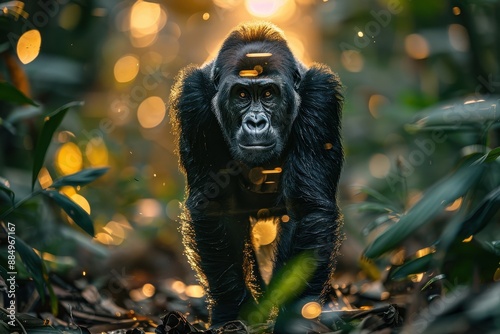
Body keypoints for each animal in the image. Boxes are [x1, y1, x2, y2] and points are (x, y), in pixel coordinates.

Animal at [170, 22, 346, 332]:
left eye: (268, 95)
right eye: (241, 95)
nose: (255, 122)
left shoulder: (320, 97)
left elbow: (307, 209)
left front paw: (294, 315)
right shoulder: (192, 100)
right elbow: (216, 208)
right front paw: (232, 311)